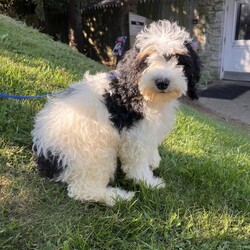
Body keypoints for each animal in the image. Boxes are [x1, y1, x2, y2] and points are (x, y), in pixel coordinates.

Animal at [32, 20, 201, 205]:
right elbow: (137, 162)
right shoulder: (135, 135)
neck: (140, 92)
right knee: (84, 190)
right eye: (147, 60)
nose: (162, 82)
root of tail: (46, 156)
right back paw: (119, 196)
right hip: (95, 152)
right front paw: (149, 182)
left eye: (179, 59)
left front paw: (153, 159)